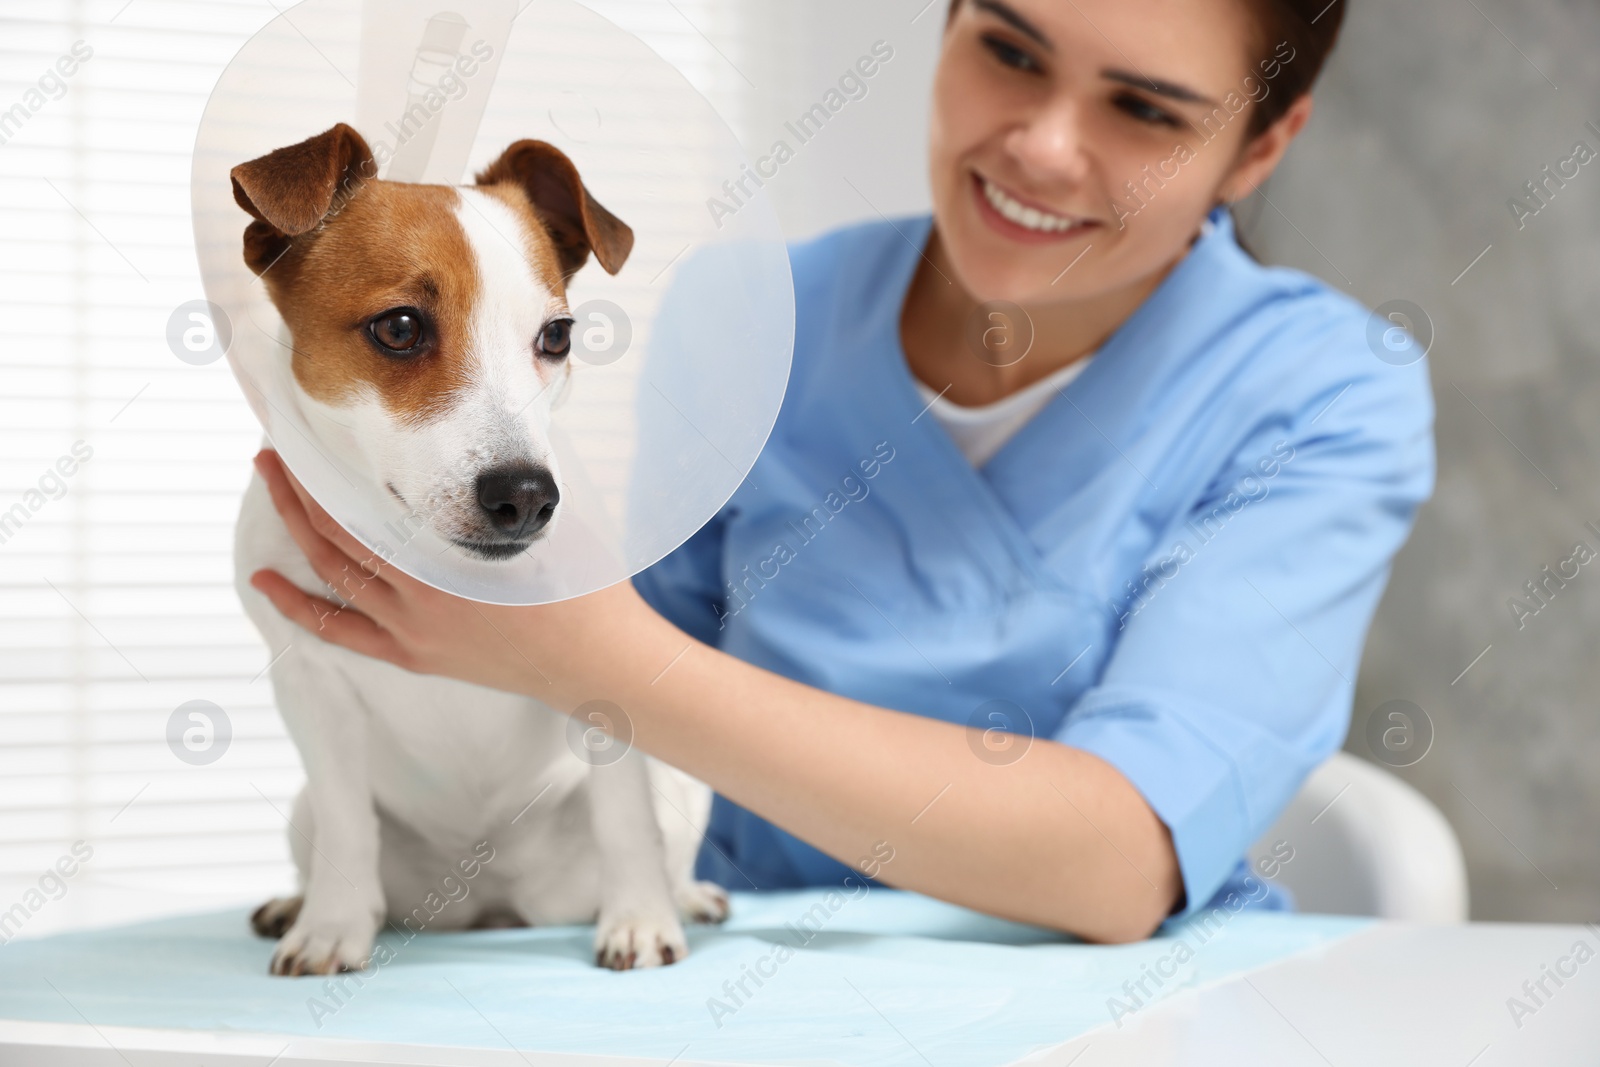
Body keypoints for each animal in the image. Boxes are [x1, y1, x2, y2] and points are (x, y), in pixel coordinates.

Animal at [228, 125, 729, 979]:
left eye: (556, 336)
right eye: (399, 328)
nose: (526, 494)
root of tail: (490, 896)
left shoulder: (603, 678)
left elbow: (628, 820)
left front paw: (639, 917)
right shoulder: (312, 686)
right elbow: (347, 825)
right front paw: (329, 926)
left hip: (682, 779)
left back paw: (685, 895)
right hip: (309, 814)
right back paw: (299, 903)